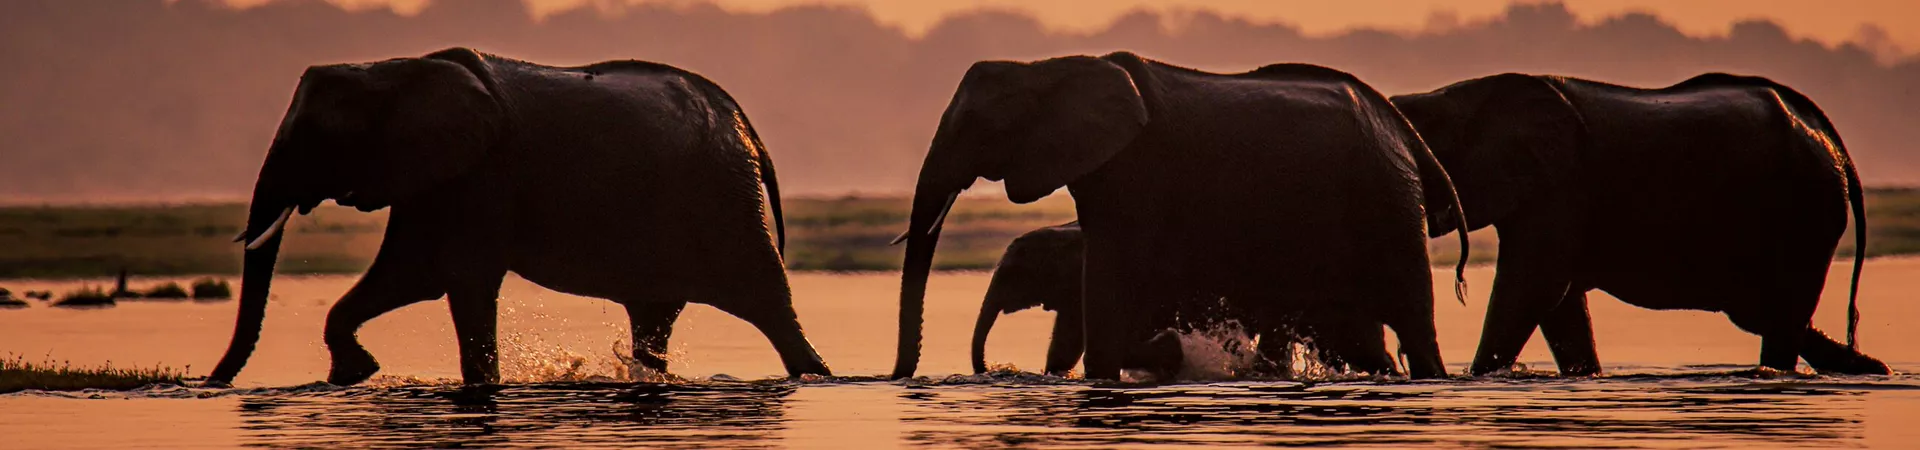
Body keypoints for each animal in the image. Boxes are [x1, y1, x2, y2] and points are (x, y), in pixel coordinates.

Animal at [207, 47, 832, 387]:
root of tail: (744, 123)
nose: (206, 384)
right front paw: (352, 375)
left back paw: (818, 377)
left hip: (724, 197)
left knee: (767, 303)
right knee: (655, 314)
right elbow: (409, 276)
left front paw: (479, 386)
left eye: (315, 137)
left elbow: (458, 278)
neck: (392, 70)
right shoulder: (436, 178)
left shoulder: (482, 174)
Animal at [894, 52, 1469, 381]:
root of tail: (1403, 130)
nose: (902, 381)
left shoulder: (1137, 172)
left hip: (1388, 201)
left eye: (974, 123)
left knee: (1414, 324)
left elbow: (1108, 286)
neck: (1049, 67)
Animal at [1391, 73, 1890, 376]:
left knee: (1776, 316)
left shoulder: (1560, 187)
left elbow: (1532, 288)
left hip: (1806, 208)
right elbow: (1559, 303)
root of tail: (1830, 138)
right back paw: (1872, 369)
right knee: (1768, 314)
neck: (1458, 96)